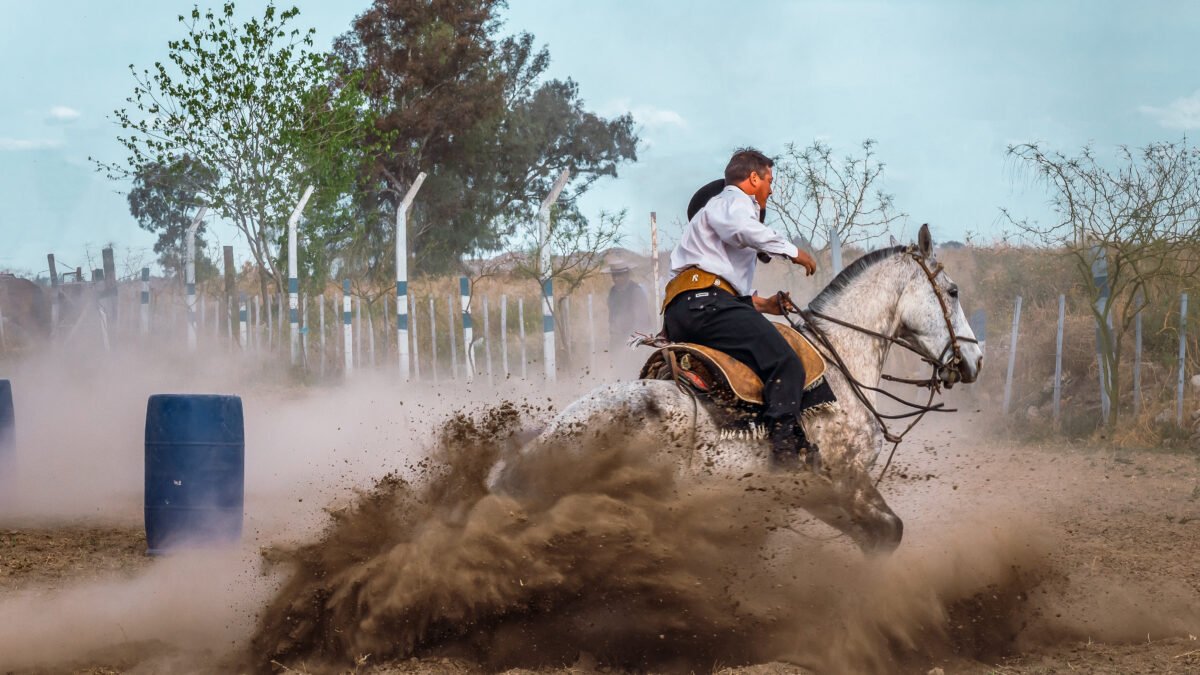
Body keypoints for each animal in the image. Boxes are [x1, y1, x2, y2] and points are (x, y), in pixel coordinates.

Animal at [489, 225, 984, 552]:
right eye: (953, 291)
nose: (976, 359)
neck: (839, 363)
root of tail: (552, 434)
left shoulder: (816, 493)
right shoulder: (842, 480)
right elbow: (887, 533)